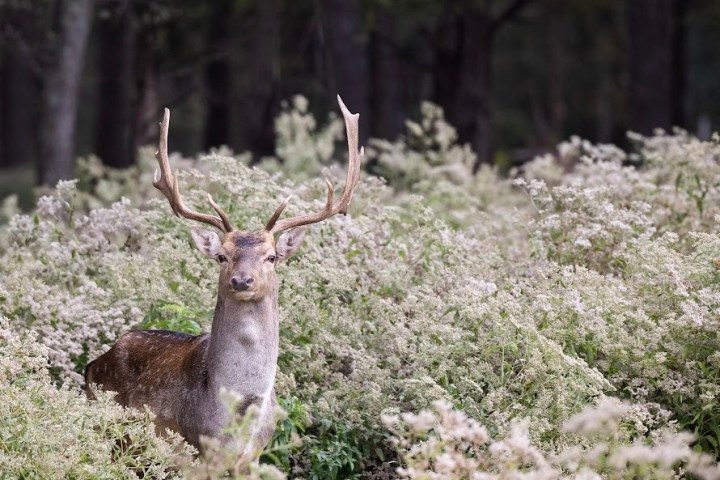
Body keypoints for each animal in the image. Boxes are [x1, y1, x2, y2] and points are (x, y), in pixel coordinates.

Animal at [84, 95, 363, 463]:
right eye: (222, 256)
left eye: (271, 257)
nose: (242, 281)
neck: (239, 416)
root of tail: (90, 366)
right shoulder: (195, 449)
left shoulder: (254, 454)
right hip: (112, 433)